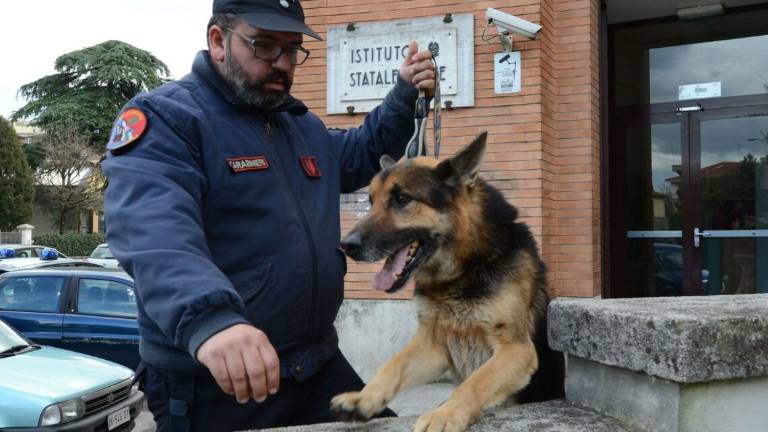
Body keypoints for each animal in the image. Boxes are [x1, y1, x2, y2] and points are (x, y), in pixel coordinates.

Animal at [330, 132, 564, 432]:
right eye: (370, 202)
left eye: (401, 198)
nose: (346, 245)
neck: (460, 272)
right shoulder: (433, 345)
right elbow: (393, 365)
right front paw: (362, 399)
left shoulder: (516, 349)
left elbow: (475, 382)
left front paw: (445, 414)